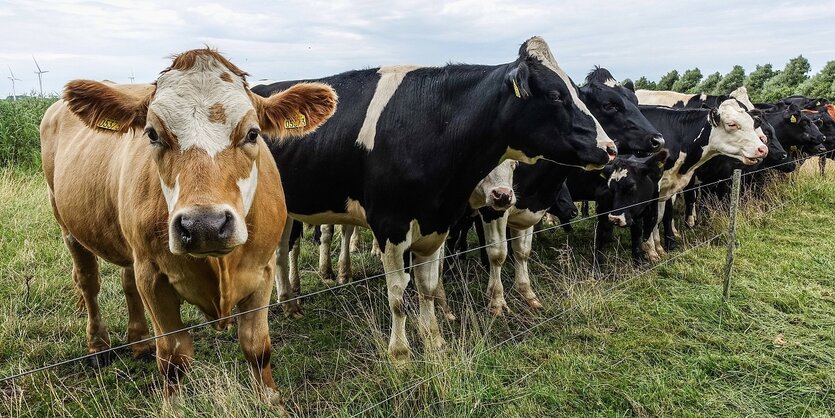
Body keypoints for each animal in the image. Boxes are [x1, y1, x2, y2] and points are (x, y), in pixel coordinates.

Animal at [38, 48, 340, 404]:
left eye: (253, 133)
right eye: (152, 133)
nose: (204, 225)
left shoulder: (262, 270)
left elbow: (257, 347)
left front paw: (270, 400)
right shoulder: (153, 276)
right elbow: (173, 357)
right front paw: (173, 403)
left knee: (126, 280)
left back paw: (140, 340)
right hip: (66, 223)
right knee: (88, 282)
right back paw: (99, 345)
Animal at [256, 36, 620, 360]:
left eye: (577, 93)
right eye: (556, 95)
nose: (610, 148)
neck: (435, 124)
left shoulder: (437, 223)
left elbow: (427, 287)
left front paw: (434, 342)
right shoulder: (390, 225)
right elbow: (398, 294)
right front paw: (400, 354)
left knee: (279, 252)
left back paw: (290, 302)